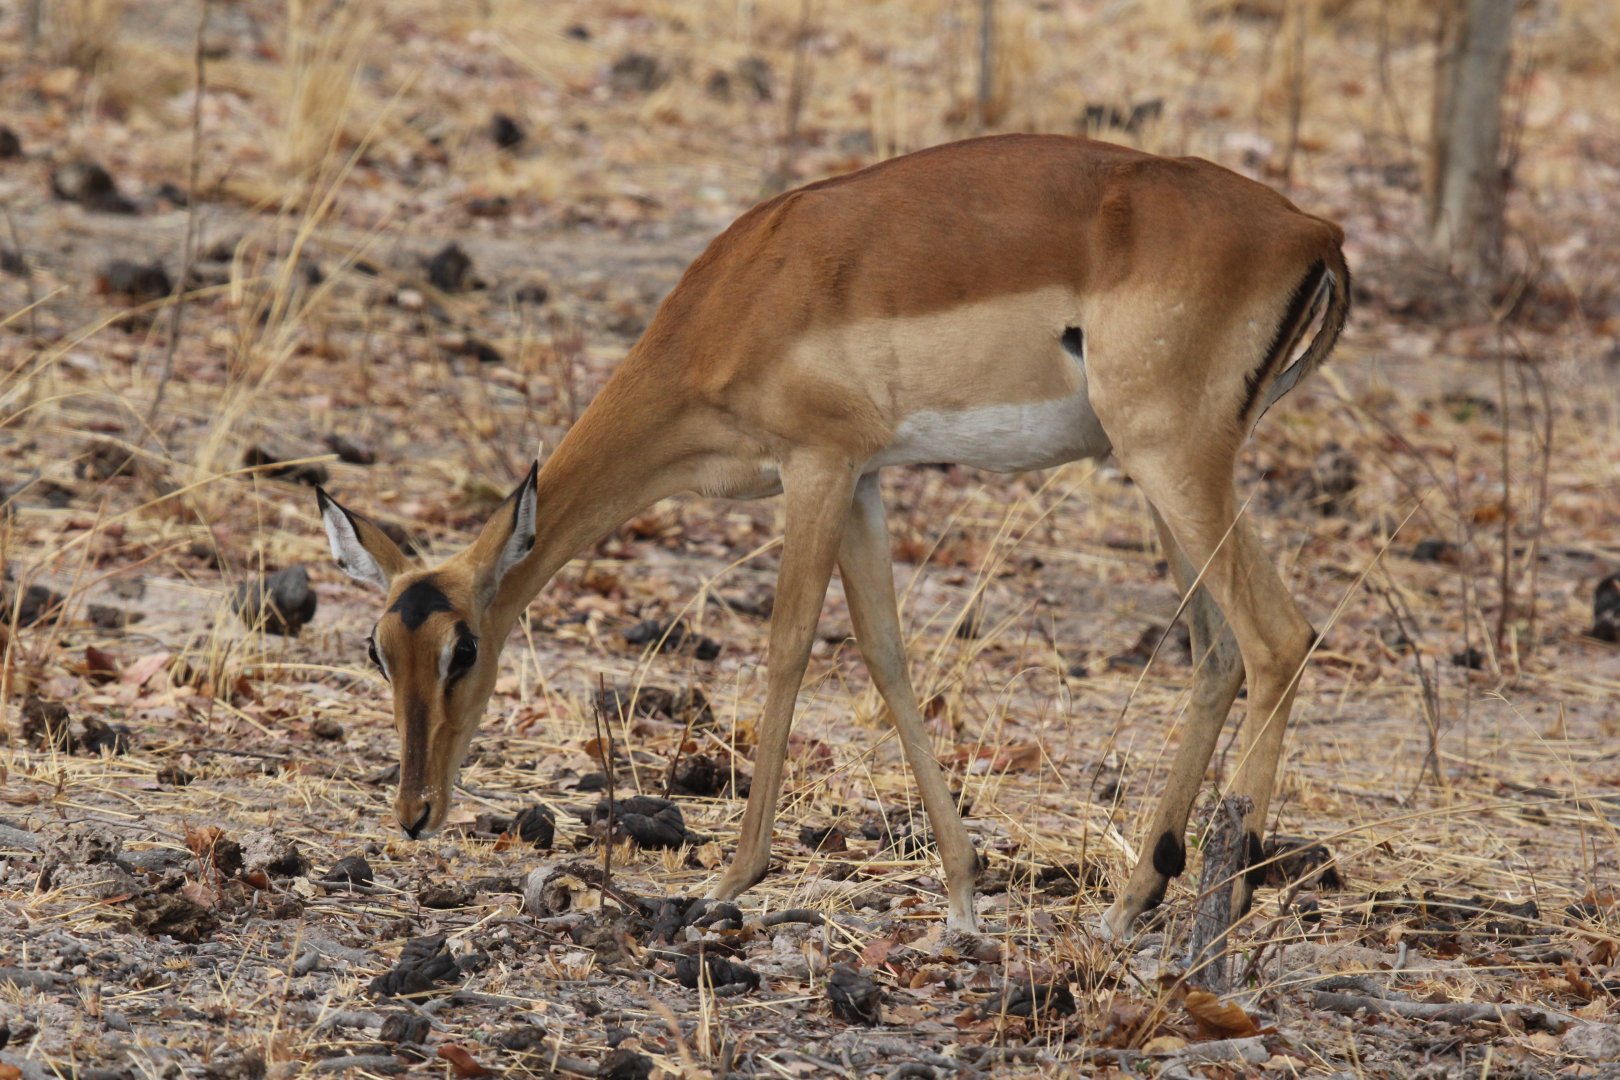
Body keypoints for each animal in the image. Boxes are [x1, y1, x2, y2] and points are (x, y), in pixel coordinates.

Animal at [317, 134, 1349, 939]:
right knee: (1216, 654)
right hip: (1157, 476)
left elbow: (785, 650)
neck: (744, 295)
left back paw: (1220, 918)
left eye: (463, 649)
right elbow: (886, 652)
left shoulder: (816, 467)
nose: (414, 813)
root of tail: (1314, 231)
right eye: (377, 651)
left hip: (1173, 461)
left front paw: (729, 880)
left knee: (1279, 639)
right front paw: (964, 894)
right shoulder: (864, 480)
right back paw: (1130, 906)